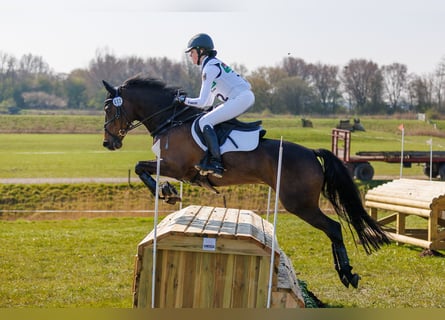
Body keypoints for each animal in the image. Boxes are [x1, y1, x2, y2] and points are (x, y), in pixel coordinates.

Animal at [101, 75, 388, 290]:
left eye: (108, 108)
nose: (108, 143)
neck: (171, 121)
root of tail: (311, 153)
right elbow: (142, 168)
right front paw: (167, 192)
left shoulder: (176, 166)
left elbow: (141, 167)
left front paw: (167, 192)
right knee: (333, 229)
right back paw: (346, 272)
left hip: (299, 204)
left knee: (334, 228)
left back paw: (347, 274)